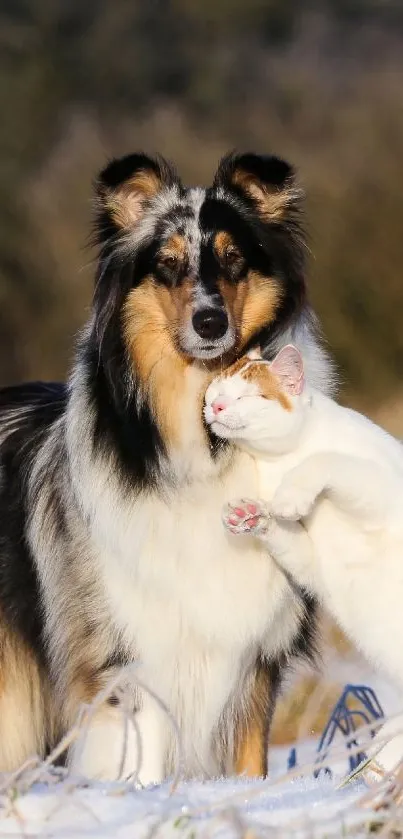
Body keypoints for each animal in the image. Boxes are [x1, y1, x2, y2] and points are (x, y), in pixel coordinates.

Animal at [0, 149, 334, 780]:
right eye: (168, 264)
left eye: (232, 257)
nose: (210, 323)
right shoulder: (130, 659)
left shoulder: (253, 658)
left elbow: (250, 762)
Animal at [207, 344, 403, 776]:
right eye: (213, 390)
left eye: (245, 395)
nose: (214, 405)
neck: (280, 462)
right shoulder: (313, 564)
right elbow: (286, 538)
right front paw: (250, 515)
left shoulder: (378, 490)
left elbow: (326, 462)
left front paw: (290, 496)